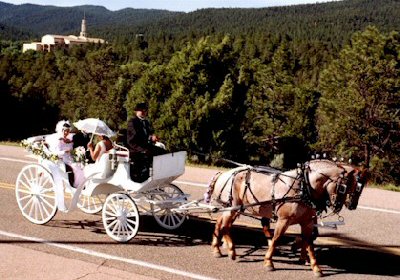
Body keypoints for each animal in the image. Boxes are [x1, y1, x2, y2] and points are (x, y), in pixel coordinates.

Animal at [208, 161, 360, 276]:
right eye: (344, 187)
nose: (348, 205)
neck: (303, 187)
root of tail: (223, 174)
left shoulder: (308, 222)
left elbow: (309, 243)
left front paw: (315, 267)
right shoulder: (284, 220)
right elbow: (276, 239)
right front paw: (268, 262)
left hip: (233, 209)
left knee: (220, 223)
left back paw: (217, 248)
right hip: (233, 207)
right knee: (225, 226)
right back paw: (231, 250)